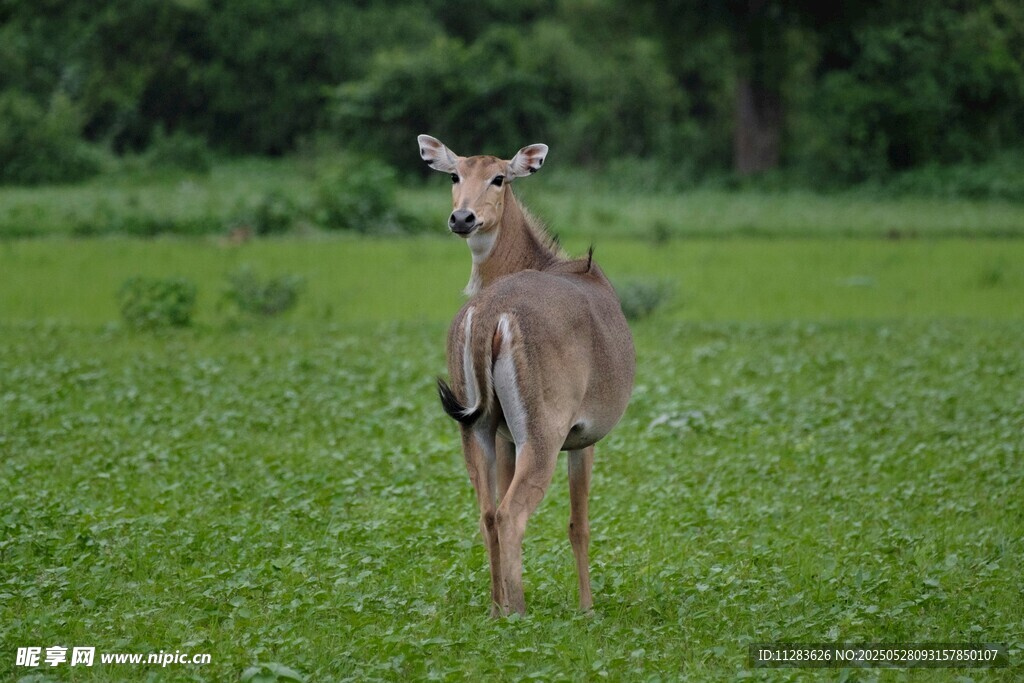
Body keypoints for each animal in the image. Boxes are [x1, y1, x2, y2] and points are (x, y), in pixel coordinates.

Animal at [417, 134, 635, 616]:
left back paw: (497, 609)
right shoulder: (584, 437)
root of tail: (489, 316)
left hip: (475, 427)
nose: (463, 217)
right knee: (511, 514)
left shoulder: (503, 437)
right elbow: (579, 524)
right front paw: (587, 608)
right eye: (454, 175)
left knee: (488, 513)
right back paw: (518, 613)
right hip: (541, 433)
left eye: (498, 177)